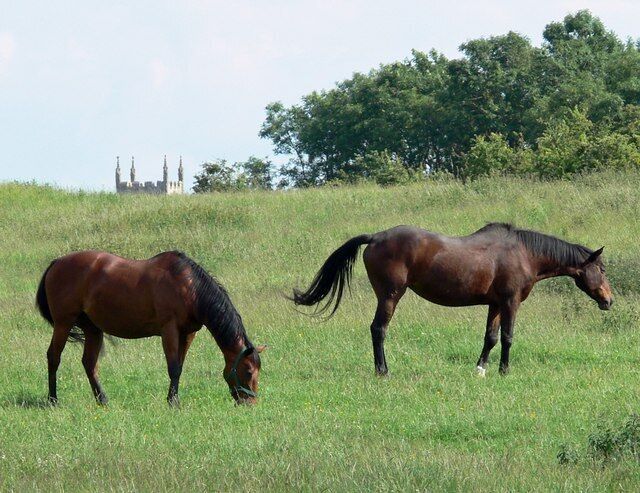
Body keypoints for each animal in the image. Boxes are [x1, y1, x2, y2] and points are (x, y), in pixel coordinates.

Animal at [36, 250, 266, 406]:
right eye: (248, 370)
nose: (250, 403)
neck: (190, 288)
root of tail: (56, 262)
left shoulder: (188, 333)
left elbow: (179, 366)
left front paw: (172, 398)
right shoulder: (169, 330)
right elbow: (173, 367)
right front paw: (173, 402)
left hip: (92, 329)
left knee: (89, 364)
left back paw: (103, 400)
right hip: (63, 323)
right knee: (53, 357)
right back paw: (53, 399)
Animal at [291, 223, 613, 376]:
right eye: (602, 269)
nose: (609, 300)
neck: (524, 254)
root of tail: (376, 237)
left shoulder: (495, 304)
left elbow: (490, 337)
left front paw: (481, 368)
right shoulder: (510, 302)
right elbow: (508, 337)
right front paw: (504, 370)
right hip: (390, 295)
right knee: (378, 329)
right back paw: (383, 371)